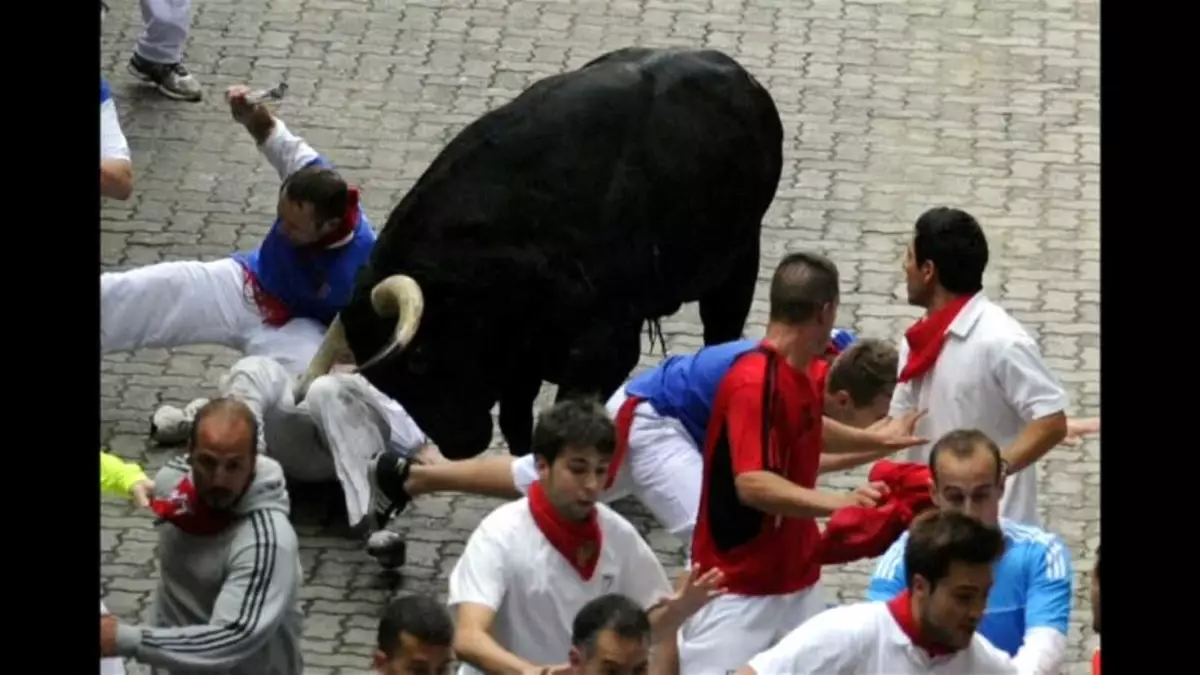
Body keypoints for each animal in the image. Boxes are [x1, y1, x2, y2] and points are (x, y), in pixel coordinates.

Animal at [300, 45, 787, 456]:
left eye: (419, 361)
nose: (459, 445)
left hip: (740, 259)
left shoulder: (604, 345)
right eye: (386, 382)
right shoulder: (522, 361)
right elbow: (519, 427)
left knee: (720, 331)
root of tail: (744, 81)